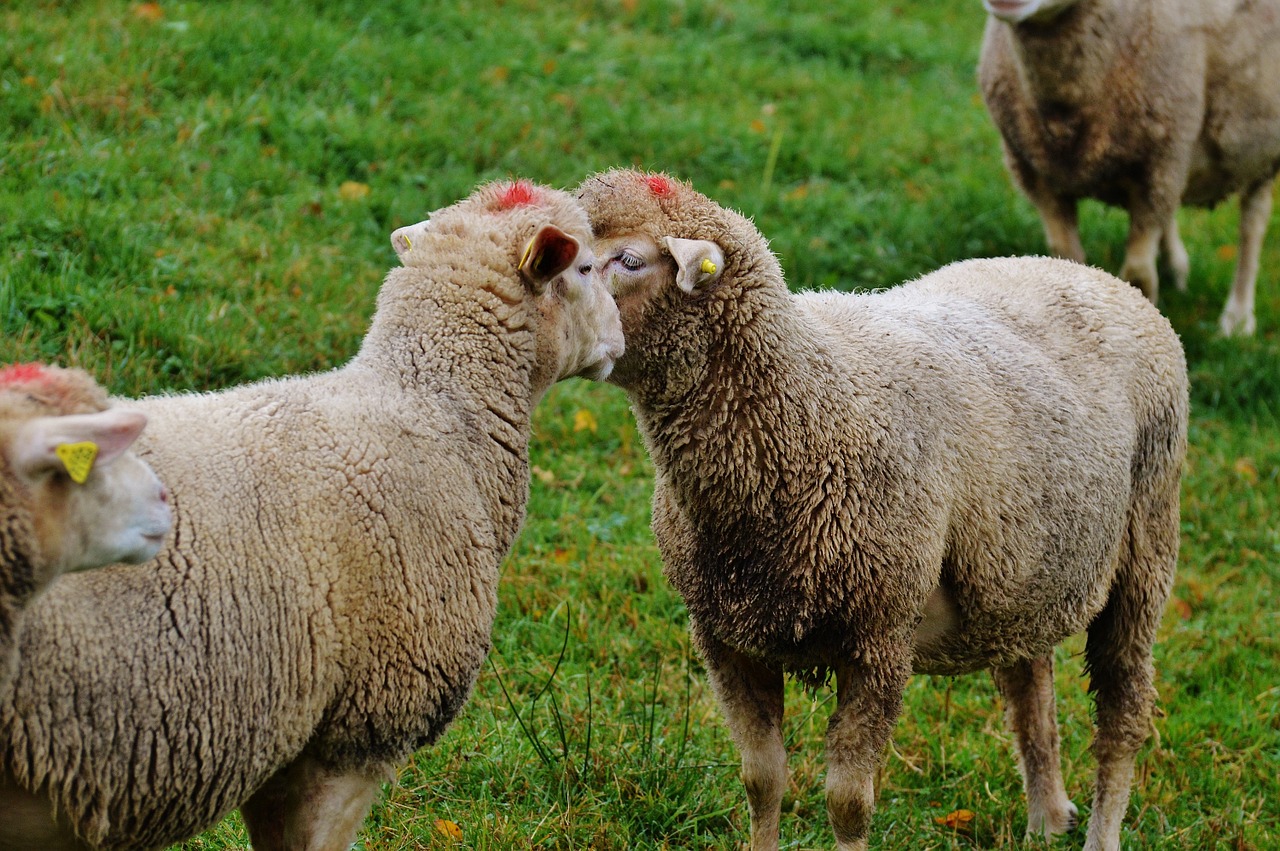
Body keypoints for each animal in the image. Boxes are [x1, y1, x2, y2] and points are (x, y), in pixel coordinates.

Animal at [581, 167, 1187, 849]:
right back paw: (1045, 820)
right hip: (1021, 568)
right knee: (1030, 690)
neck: (808, 406)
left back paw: (1100, 830)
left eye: (630, 260)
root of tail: (1093, 275)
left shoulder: (879, 640)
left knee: (1123, 713)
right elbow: (761, 780)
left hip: (1145, 545)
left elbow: (848, 803)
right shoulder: (726, 637)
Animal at [977, 0, 1280, 335]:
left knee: (1253, 221)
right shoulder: (1037, 175)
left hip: (1259, 149)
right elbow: (1064, 256)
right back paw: (1176, 268)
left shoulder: (1158, 164)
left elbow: (1138, 276)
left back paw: (1238, 318)